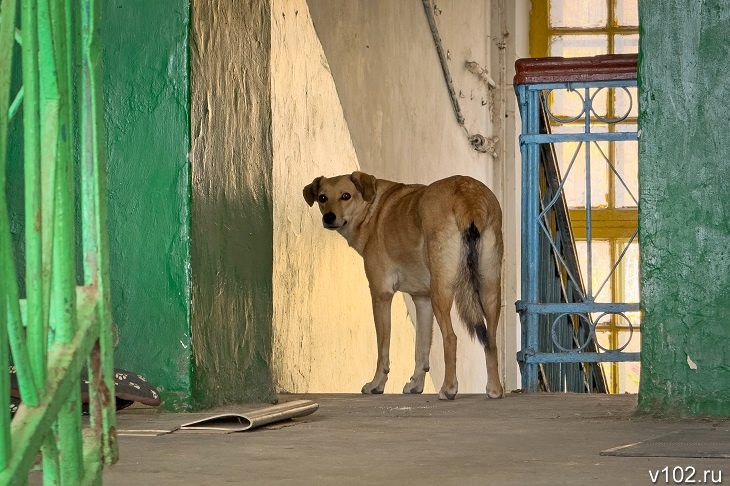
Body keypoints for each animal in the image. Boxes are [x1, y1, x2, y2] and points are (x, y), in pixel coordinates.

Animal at [302, 171, 500, 398]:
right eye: (322, 197)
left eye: (345, 196)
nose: (329, 217)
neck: (372, 209)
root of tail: (467, 193)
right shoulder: (422, 301)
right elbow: (421, 350)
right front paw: (416, 385)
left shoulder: (381, 295)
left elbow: (383, 350)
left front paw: (376, 385)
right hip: (489, 291)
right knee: (491, 339)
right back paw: (495, 389)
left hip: (442, 293)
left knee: (451, 338)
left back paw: (449, 388)